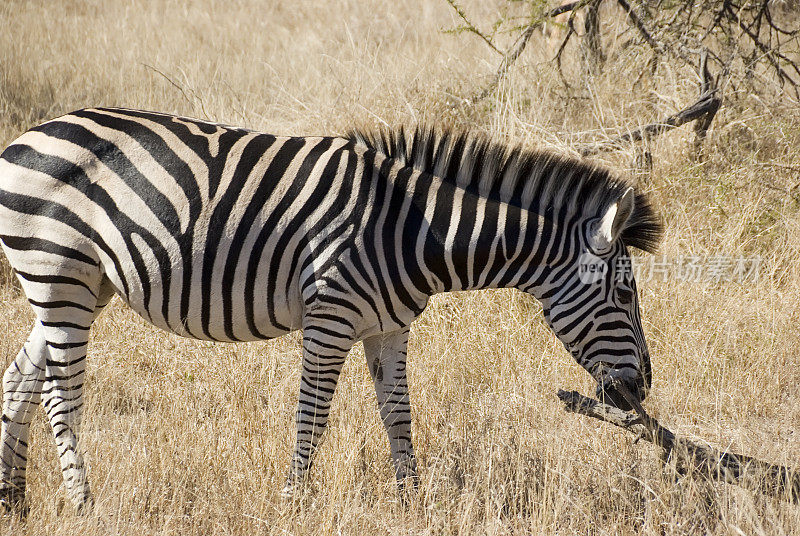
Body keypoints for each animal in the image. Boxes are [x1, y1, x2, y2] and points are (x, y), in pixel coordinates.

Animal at [0, 108, 664, 510]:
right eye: (625, 294)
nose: (642, 390)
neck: (409, 230)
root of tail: (28, 135)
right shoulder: (330, 316)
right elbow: (312, 416)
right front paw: (292, 503)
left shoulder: (389, 329)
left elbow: (399, 417)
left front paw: (412, 503)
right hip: (61, 276)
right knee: (60, 396)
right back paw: (84, 505)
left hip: (75, 284)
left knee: (19, 377)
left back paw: (15, 500)